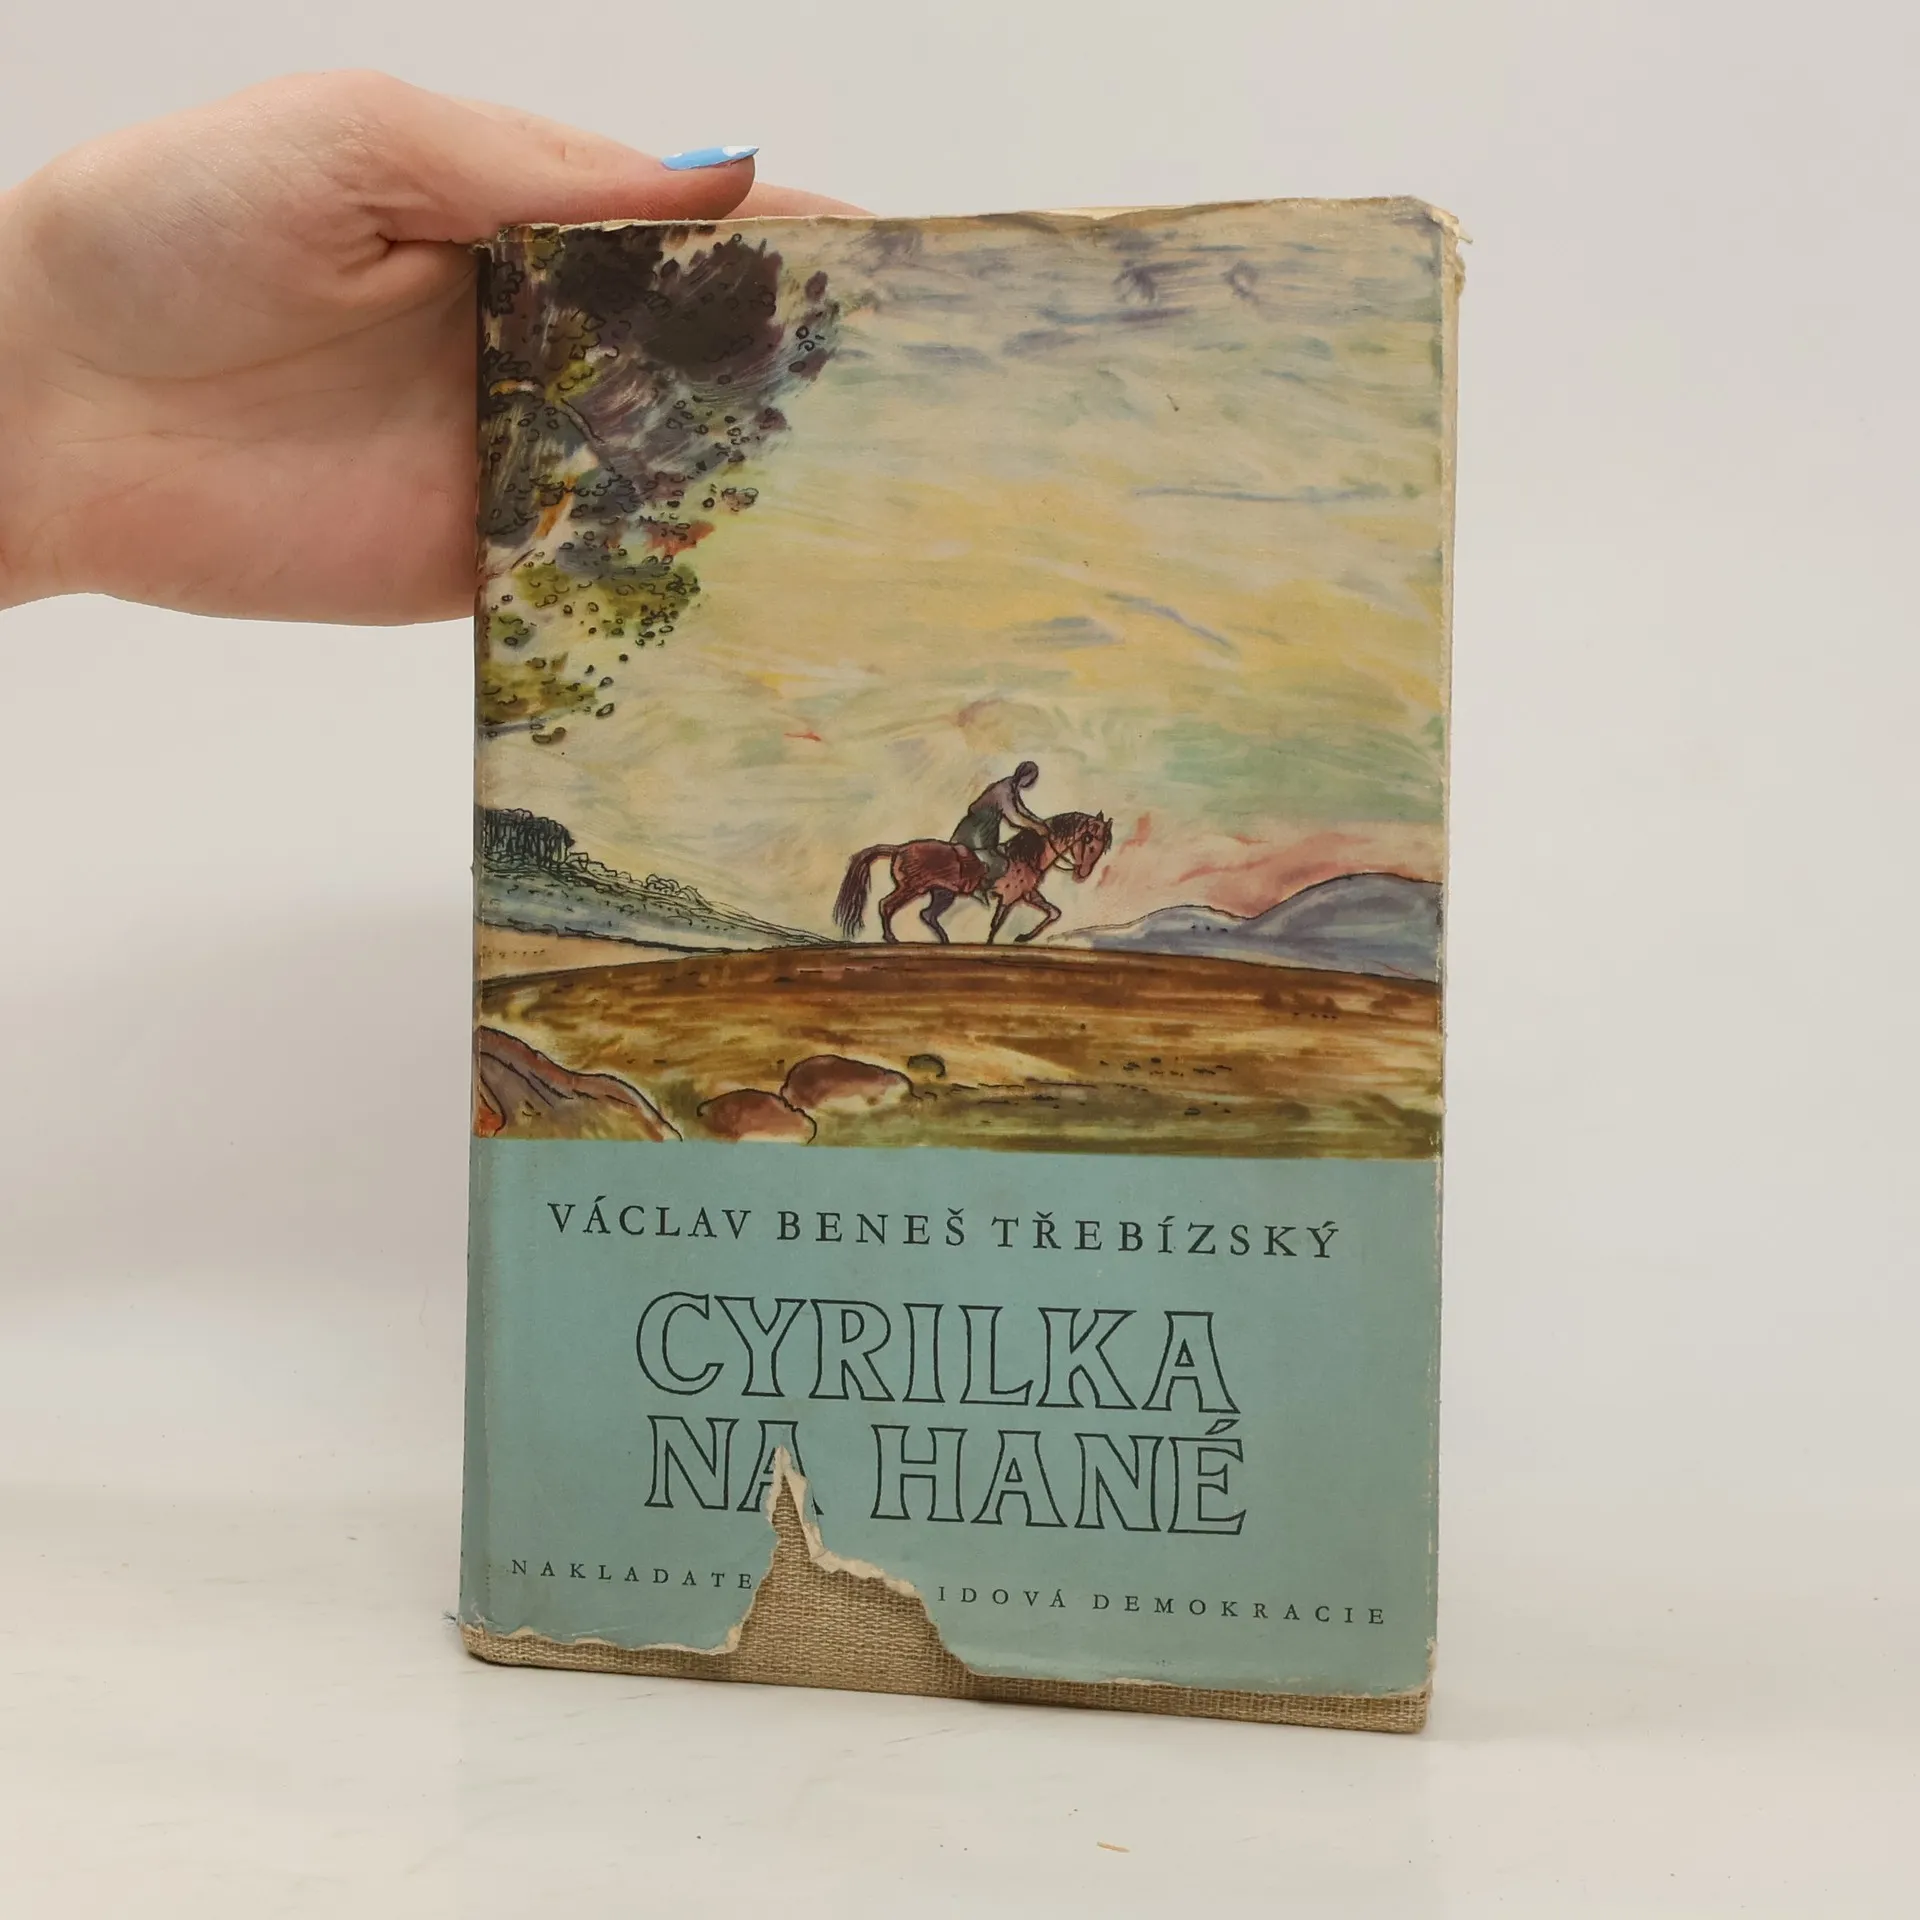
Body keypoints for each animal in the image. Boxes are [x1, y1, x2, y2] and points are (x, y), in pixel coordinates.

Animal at [833, 811, 1113, 945]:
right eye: (1089, 840)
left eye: (1101, 846)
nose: (1082, 873)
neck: (1028, 855)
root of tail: (899, 848)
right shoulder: (1010, 897)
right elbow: (996, 925)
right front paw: (991, 943)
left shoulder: (1028, 894)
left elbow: (1054, 912)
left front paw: (1023, 937)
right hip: (913, 888)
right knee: (886, 905)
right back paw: (892, 939)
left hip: (942, 894)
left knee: (927, 915)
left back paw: (944, 941)